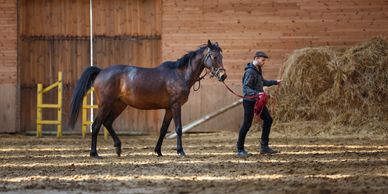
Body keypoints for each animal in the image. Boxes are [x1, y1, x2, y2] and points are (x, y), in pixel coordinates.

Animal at [68, 40, 226, 158]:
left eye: (221, 56)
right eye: (214, 57)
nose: (223, 76)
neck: (180, 74)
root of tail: (101, 71)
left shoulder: (169, 109)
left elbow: (163, 129)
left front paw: (158, 151)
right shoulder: (176, 106)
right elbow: (178, 128)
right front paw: (180, 151)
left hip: (119, 105)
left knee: (107, 122)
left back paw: (118, 147)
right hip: (105, 105)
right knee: (96, 125)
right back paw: (94, 153)